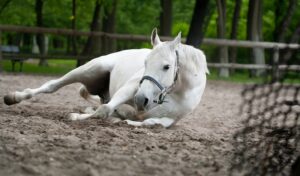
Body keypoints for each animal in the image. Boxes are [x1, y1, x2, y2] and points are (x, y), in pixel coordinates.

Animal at [3, 28, 209, 128]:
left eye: (167, 66)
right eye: (145, 62)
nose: (140, 99)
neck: (178, 92)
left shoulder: (171, 119)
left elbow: (152, 122)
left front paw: (125, 120)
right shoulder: (130, 89)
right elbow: (104, 110)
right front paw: (77, 117)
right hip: (90, 69)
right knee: (52, 85)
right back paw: (13, 97)